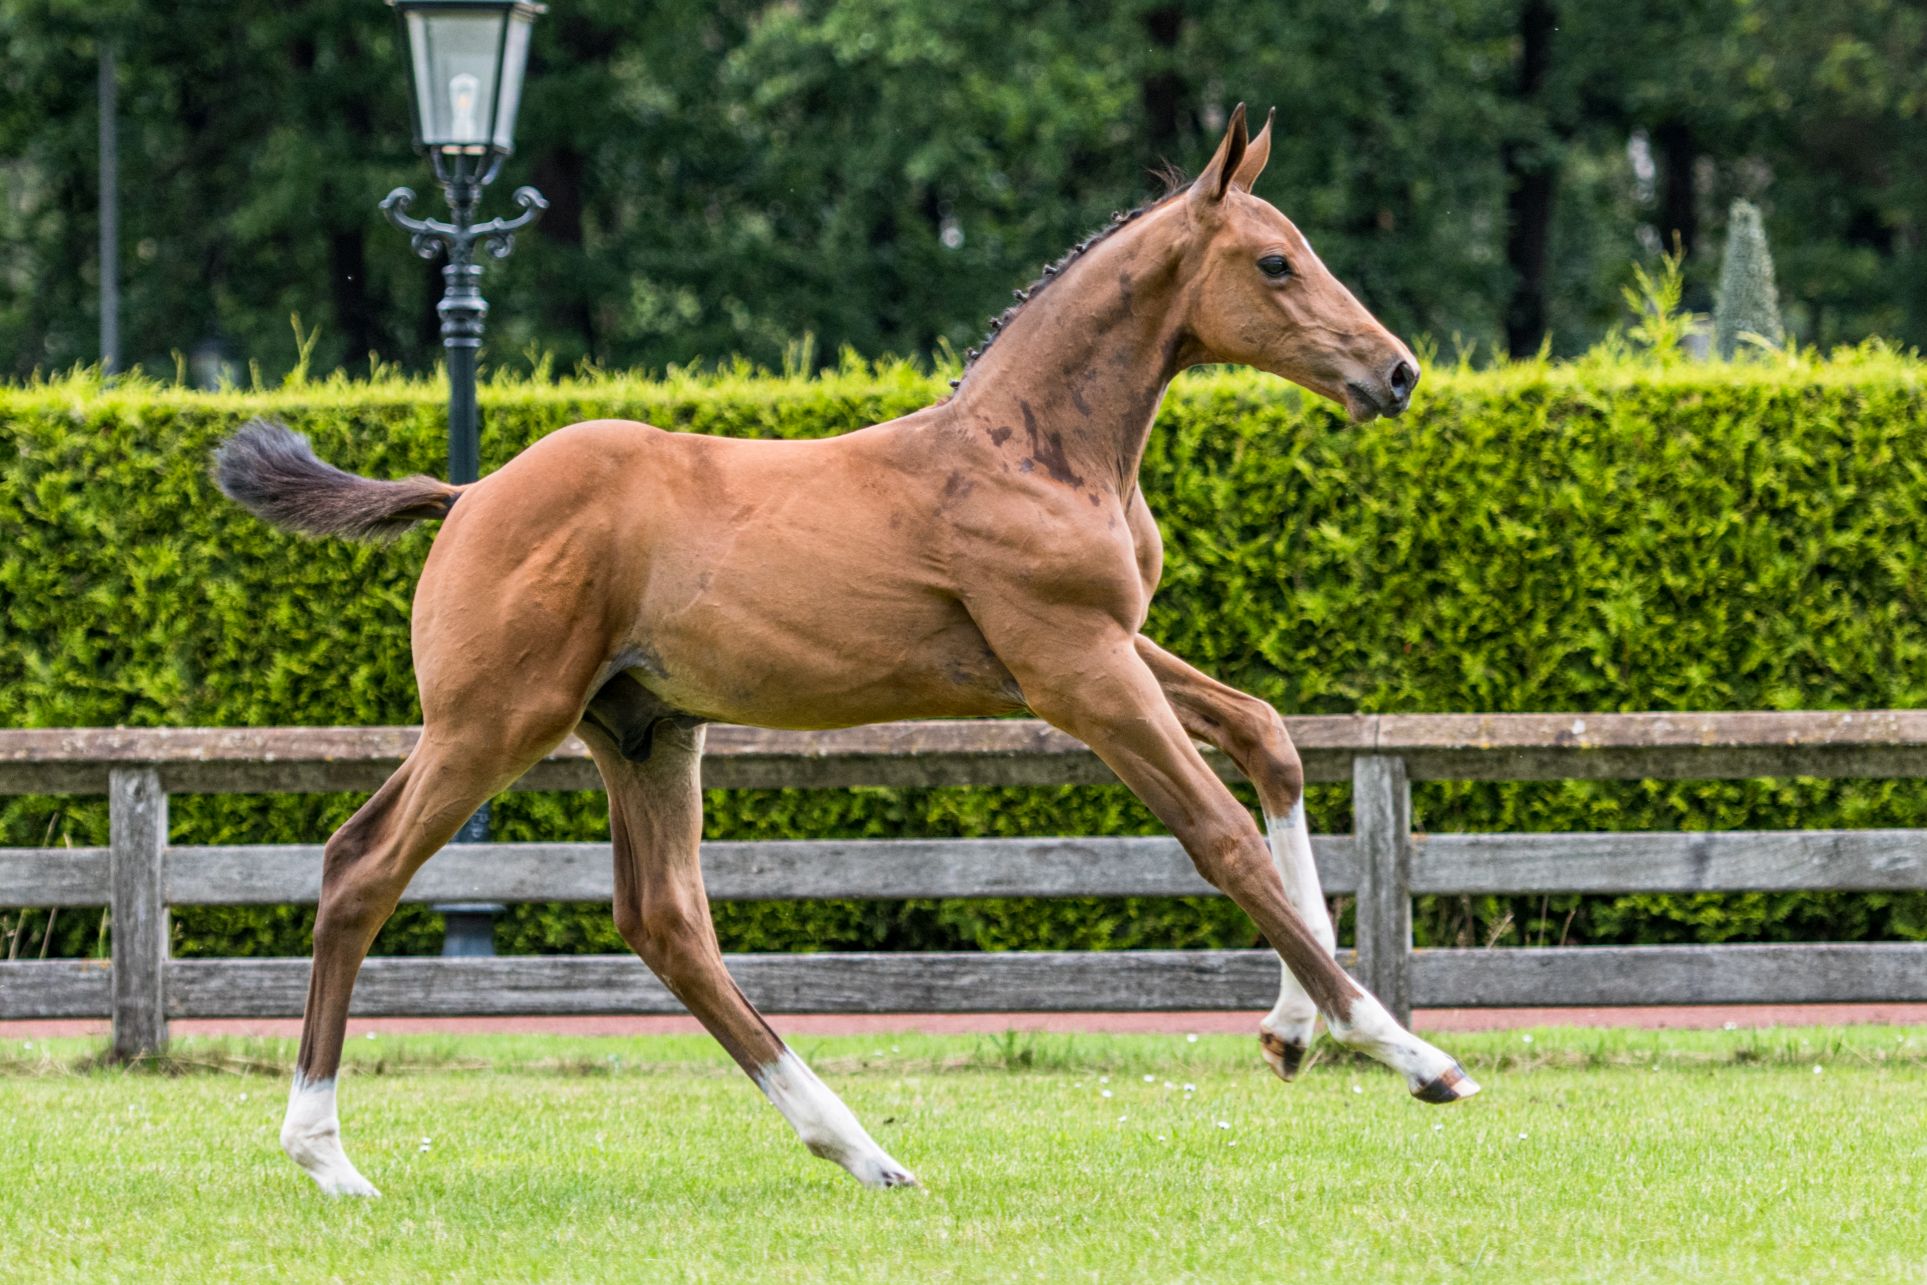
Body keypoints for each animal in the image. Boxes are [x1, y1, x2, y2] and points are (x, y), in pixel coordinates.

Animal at [215, 104, 1472, 1198]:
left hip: (645, 731)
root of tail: (468, 492)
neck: (1031, 451)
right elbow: (1219, 838)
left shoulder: (1106, 644)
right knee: (362, 864)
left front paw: (1291, 1029)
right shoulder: (1077, 667)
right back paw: (325, 1154)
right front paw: (1404, 1050)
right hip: (493, 721)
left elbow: (1267, 738)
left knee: (665, 922)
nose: (1396, 371)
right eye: (1274, 264)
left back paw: (861, 1149)